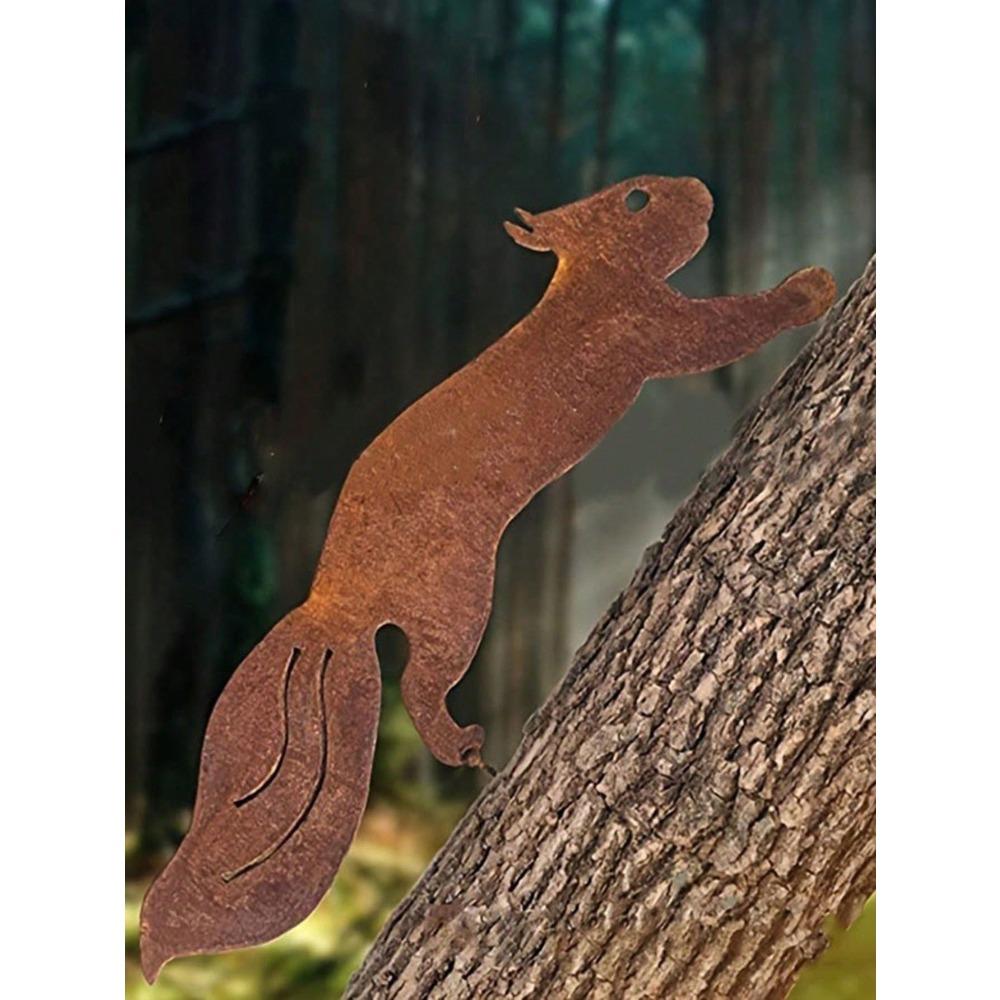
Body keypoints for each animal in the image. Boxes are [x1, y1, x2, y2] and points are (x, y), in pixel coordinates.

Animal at [140, 176, 836, 980]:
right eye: (636, 198)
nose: (699, 190)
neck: (585, 282)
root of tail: (334, 604)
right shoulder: (648, 326)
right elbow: (723, 329)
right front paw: (810, 289)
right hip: (458, 603)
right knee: (418, 684)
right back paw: (466, 744)